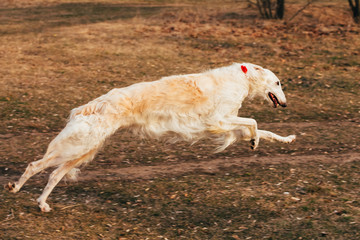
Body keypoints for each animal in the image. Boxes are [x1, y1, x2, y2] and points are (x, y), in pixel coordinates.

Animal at [5, 62, 296, 211]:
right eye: (278, 83)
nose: (285, 104)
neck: (240, 79)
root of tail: (90, 106)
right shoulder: (218, 120)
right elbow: (255, 122)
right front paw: (255, 141)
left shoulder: (227, 125)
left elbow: (262, 130)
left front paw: (284, 139)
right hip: (77, 147)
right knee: (35, 165)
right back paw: (15, 187)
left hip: (84, 151)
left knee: (54, 175)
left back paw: (42, 204)